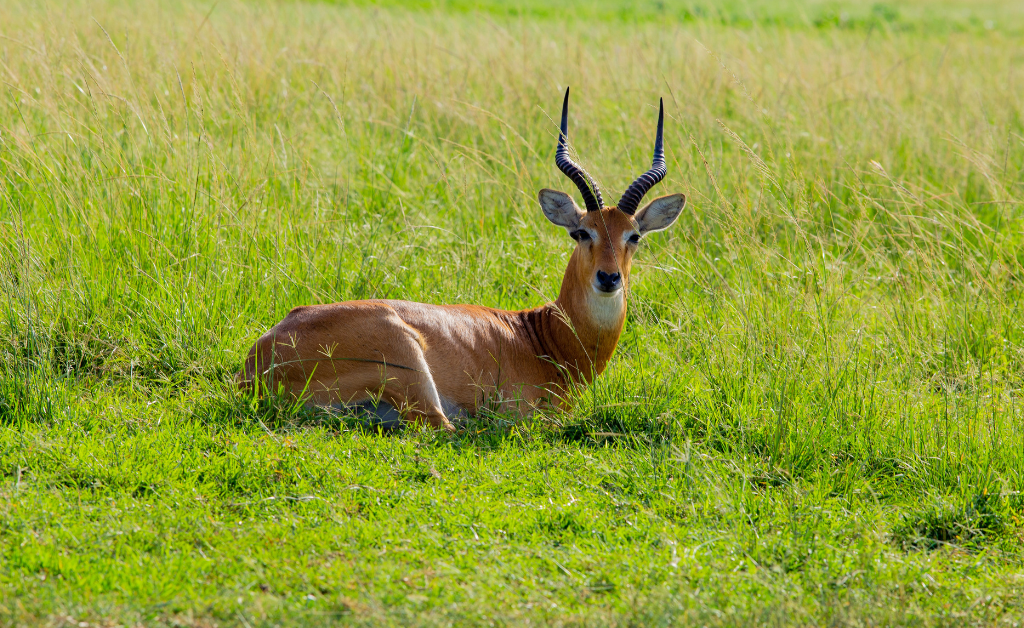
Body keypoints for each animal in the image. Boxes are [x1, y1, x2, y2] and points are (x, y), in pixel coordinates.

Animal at [241, 88, 686, 431]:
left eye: (634, 236)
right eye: (582, 232)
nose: (608, 278)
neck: (543, 339)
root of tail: (260, 358)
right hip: (408, 364)